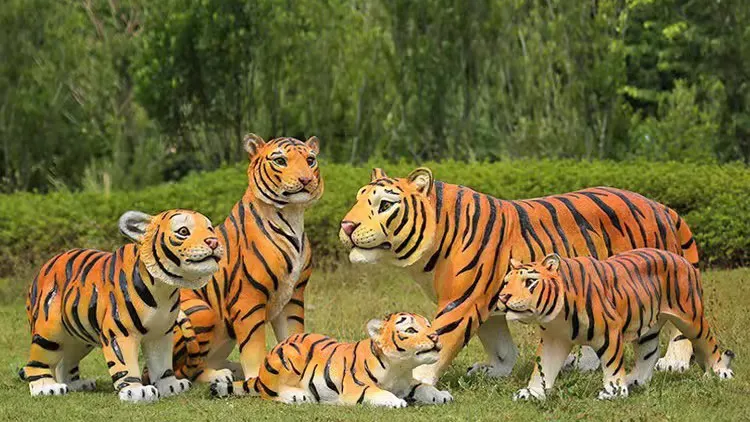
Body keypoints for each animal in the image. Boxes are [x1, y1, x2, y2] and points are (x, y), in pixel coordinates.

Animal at [20, 209, 222, 403]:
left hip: (79, 338)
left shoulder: (160, 333)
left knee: (65, 361)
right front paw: (137, 391)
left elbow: (161, 362)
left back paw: (76, 384)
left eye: (209, 229)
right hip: (49, 331)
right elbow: (125, 363)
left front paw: (170, 385)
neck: (164, 287)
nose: (213, 241)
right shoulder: (120, 332)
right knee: (36, 362)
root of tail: (46, 266)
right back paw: (46, 387)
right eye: (183, 231)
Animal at [172, 134, 323, 388]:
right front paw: (255, 379)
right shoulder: (248, 299)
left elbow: (293, 335)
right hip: (201, 311)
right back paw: (219, 375)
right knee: (182, 371)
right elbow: (253, 344)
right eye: (280, 160)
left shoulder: (293, 297)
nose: (306, 179)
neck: (292, 215)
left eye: (310, 160)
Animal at [210, 312, 453, 407]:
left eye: (428, 325)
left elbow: (424, 387)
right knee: (267, 392)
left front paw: (442, 395)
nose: (435, 336)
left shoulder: (408, 382)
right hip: (290, 357)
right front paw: (395, 401)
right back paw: (298, 396)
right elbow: (376, 392)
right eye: (411, 330)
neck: (399, 367)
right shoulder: (356, 388)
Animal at [339, 167, 700, 386]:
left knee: (679, 325)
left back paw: (675, 363)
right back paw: (584, 364)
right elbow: (500, 346)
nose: (346, 225)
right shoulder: (486, 302)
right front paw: (495, 371)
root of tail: (661, 206)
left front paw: (417, 381)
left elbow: (441, 339)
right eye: (357, 199)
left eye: (385, 205)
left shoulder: (461, 301)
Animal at [496, 251, 734, 400]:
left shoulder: (609, 332)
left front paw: (614, 392)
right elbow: (543, 367)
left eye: (530, 282)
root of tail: (682, 259)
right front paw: (532, 393)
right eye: (506, 282)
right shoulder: (554, 339)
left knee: (708, 342)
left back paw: (720, 372)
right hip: (648, 328)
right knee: (649, 353)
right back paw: (635, 380)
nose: (504, 297)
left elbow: (611, 364)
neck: (557, 314)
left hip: (690, 318)